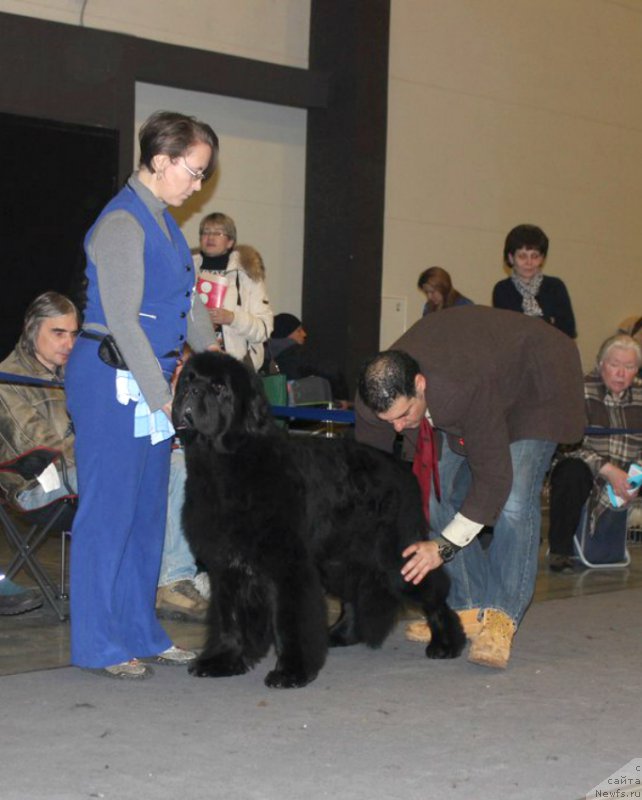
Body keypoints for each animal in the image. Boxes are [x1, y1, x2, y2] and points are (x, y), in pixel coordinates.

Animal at [172, 352, 462, 688]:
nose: (190, 392)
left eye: (219, 388)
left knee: (434, 590)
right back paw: (341, 634)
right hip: (338, 559)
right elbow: (229, 617)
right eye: (189, 379)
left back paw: (447, 643)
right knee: (352, 595)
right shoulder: (226, 566)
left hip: (395, 557)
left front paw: (291, 671)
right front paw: (223, 660)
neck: (225, 467)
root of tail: (404, 470)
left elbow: (290, 620)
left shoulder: (288, 566)